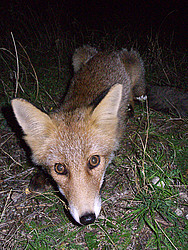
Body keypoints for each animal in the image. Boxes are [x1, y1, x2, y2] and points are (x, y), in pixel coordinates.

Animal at [11, 45, 145, 225]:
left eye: (94, 161)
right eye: (59, 168)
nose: (87, 218)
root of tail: (106, 52)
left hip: (134, 66)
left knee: (133, 92)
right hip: (77, 57)